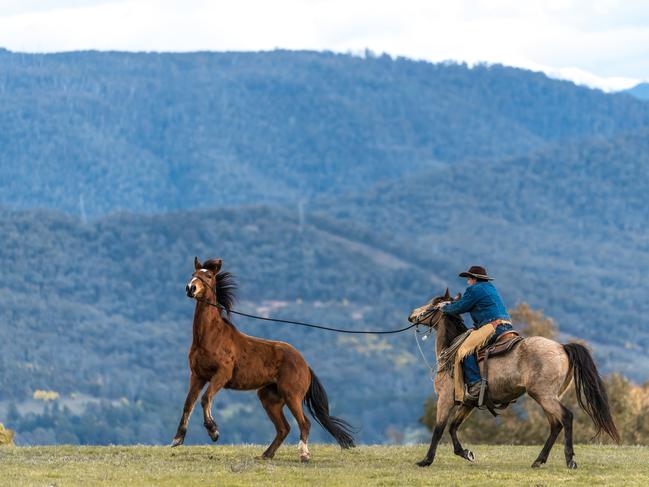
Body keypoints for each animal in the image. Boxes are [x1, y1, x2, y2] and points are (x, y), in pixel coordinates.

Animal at [171, 258, 354, 464]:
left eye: (208, 276)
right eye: (193, 274)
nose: (190, 288)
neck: (210, 337)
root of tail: (305, 365)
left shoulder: (221, 375)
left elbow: (205, 399)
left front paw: (213, 431)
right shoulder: (198, 376)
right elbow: (189, 403)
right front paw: (178, 438)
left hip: (292, 396)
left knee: (304, 423)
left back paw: (304, 455)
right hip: (269, 398)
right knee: (284, 428)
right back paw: (266, 454)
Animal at [408, 290, 620, 468]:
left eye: (433, 303)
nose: (412, 314)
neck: (451, 353)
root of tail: (562, 347)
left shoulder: (445, 399)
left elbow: (439, 429)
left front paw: (426, 460)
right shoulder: (468, 403)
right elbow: (453, 427)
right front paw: (465, 453)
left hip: (544, 395)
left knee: (566, 418)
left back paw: (569, 461)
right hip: (549, 397)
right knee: (555, 424)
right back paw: (539, 460)